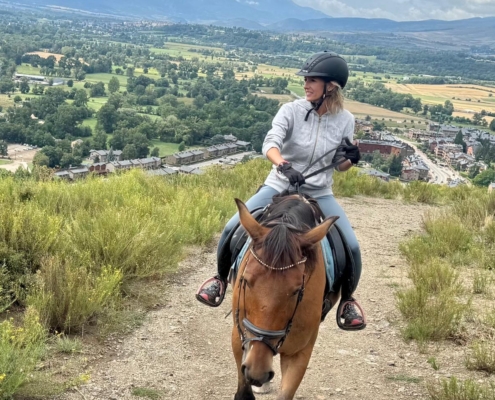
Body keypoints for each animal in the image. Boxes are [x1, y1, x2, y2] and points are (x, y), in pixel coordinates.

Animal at [231, 195, 341, 400]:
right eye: (246, 281)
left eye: (298, 291)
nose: (257, 372)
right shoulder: (239, 335)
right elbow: (243, 391)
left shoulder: (299, 352)